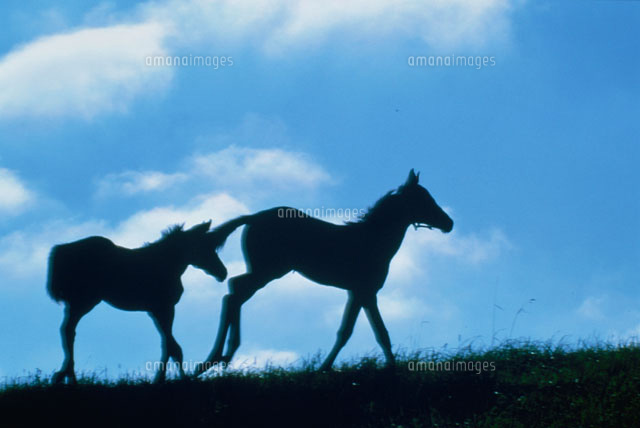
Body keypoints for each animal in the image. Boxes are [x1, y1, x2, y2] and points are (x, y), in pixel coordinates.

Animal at [47, 220, 228, 384]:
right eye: (204, 246)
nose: (223, 272)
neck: (167, 264)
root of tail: (63, 250)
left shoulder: (155, 311)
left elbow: (168, 345)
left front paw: (164, 378)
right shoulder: (164, 308)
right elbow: (174, 347)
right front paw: (177, 379)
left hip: (76, 303)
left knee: (67, 330)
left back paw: (64, 375)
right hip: (84, 301)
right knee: (68, 330)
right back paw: (69, 376)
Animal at [195, 169, 453, 375]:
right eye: (423, 199)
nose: (449, 223)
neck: (372, 240)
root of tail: (254, 217)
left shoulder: (362, 293)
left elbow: (370, 333)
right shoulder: (364, 291)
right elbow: (358, 332)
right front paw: (326, 368)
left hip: (265, 271)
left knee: (234, 292)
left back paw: (221, 357)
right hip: (268, 271)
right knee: (235, 292)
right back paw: (215, 358)